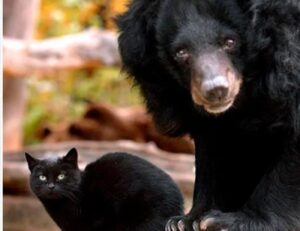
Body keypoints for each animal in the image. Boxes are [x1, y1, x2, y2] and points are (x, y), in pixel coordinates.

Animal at [118, 0, 300, 230]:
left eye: (230, 42)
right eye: (181, 52)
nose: (216, 90)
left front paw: (235, 221)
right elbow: (212, 151)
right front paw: (188, 220)